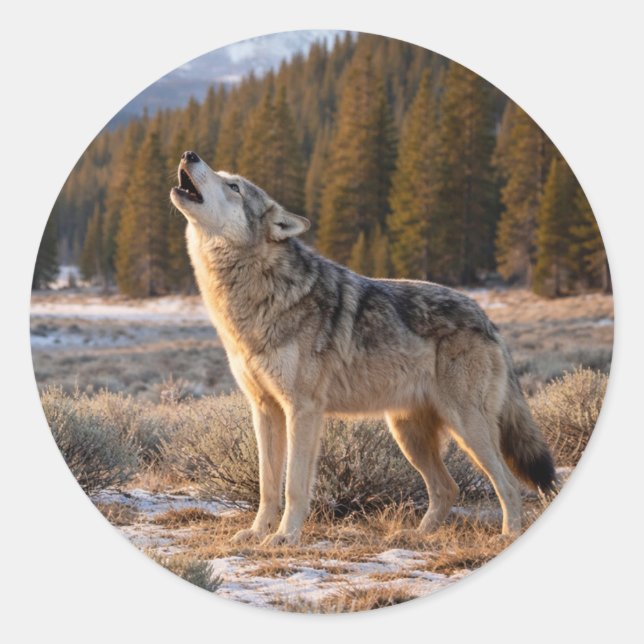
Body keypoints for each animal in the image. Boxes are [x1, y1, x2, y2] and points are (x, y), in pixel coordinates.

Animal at [170, 150, 557, 546]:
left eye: (233, 186)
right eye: (223, 174)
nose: (189, 154)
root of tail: (487, 319)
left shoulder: (303, 410)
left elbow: (294, 486)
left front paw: (284, 538)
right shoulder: (264, 409)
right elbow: (267, 485)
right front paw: (255, 533)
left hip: (466, 428)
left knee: (508, 485)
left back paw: (505, 536)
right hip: (408, 434)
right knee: (447, 488)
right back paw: (413, 537)